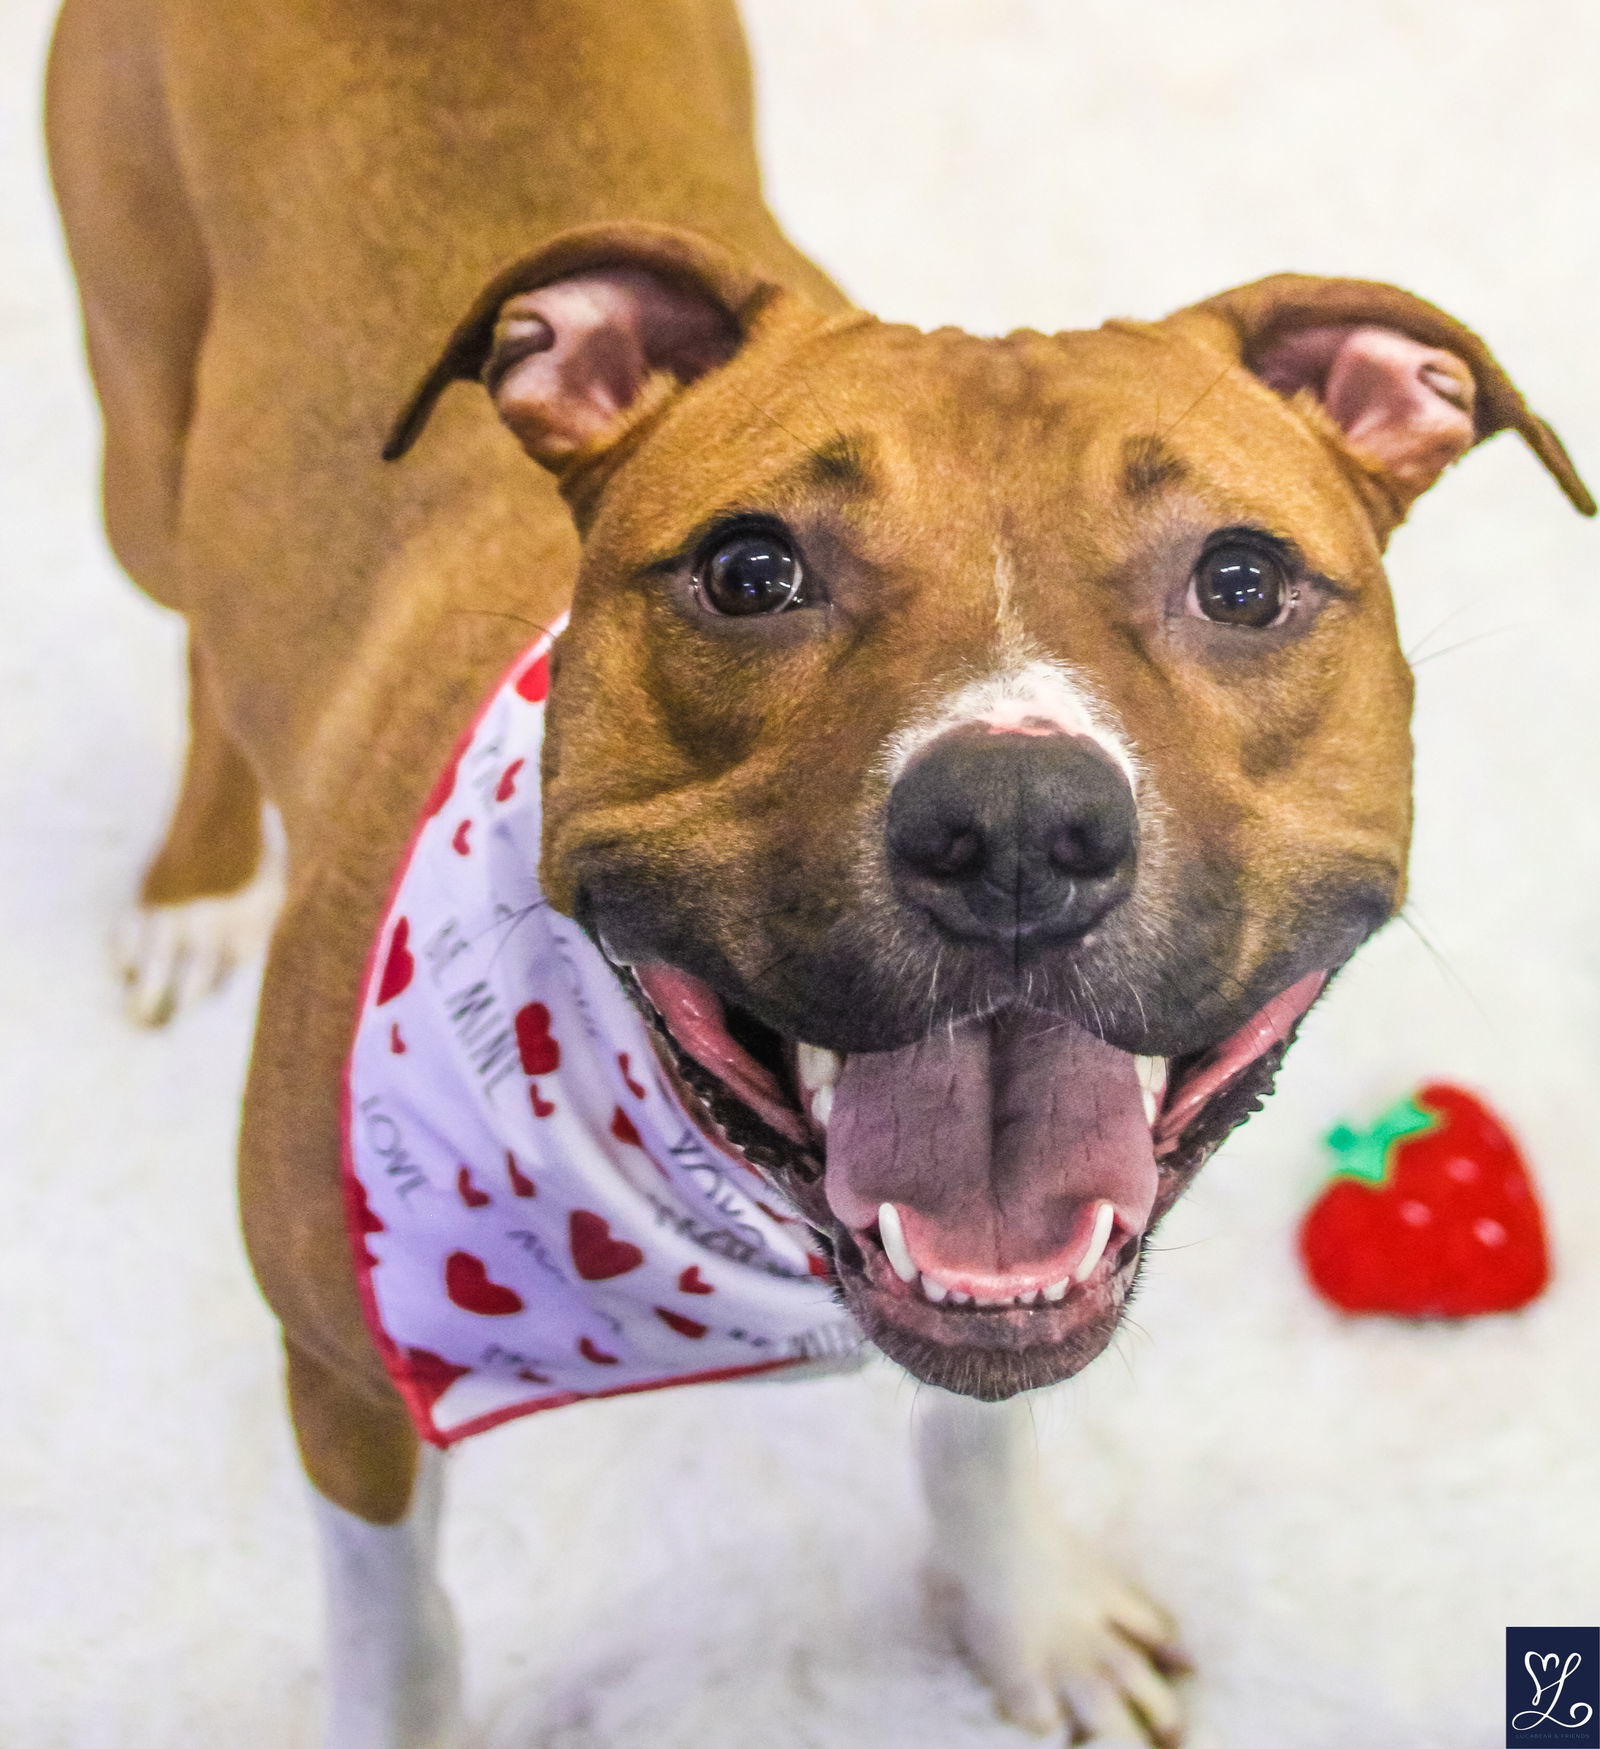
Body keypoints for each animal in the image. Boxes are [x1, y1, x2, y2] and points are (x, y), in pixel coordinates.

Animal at [43, 0, 1594, 1742]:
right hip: (142, 451)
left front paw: (1029, 1620)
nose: (1015, 829)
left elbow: (980, 1434)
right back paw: (196, 884)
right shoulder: (342, 1384)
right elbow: (403, 1644)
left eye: (1245, 579)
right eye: (749, 569)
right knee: (196, 630)